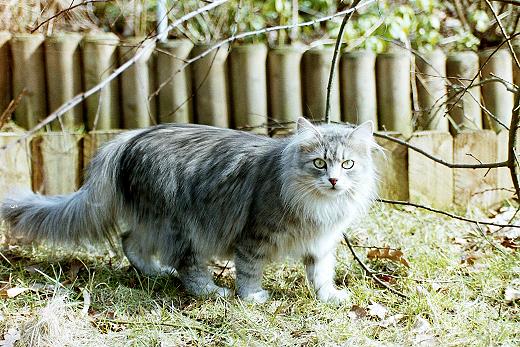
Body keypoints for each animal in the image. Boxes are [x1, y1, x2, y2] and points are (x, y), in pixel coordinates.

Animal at [0, 118, 378, 304]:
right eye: (319, 163)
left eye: (347, 164)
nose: (333, 180)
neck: (319, 205)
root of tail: (131, 138)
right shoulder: (253, 236)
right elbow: (249, 270)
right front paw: (252, 298)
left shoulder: (321, 244)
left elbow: (321, 274)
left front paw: (329, 297)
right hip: (183, 224)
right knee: (186, 264)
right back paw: (211, 291)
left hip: (159, 221)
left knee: (129, 240)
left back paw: (154, 273)